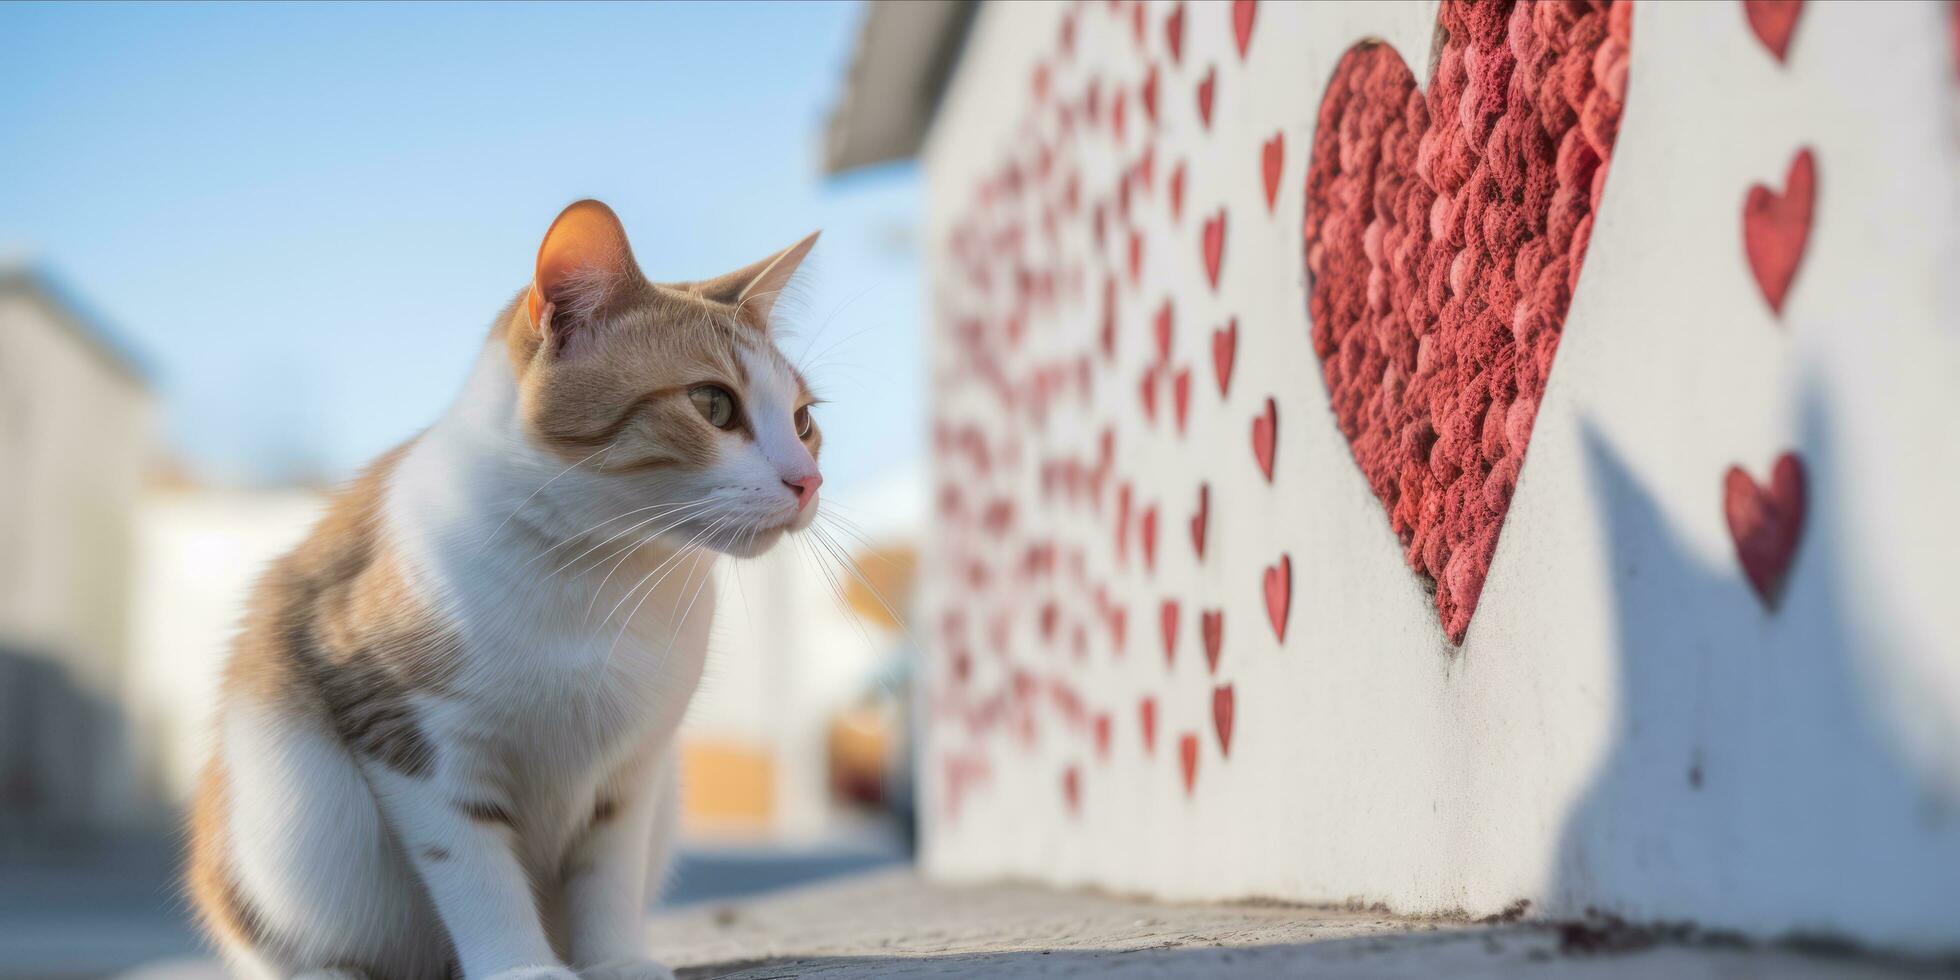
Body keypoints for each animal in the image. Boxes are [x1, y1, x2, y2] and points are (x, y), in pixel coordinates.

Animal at [187, 200, 823, 980]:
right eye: (714, 404)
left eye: (804, 421)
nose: (808, 480)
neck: (600, 574)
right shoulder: (411, 738)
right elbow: (475, 870)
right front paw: (523, 967)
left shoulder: (634, 768)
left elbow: (608, 872)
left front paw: (615, 961)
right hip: (283, 819)